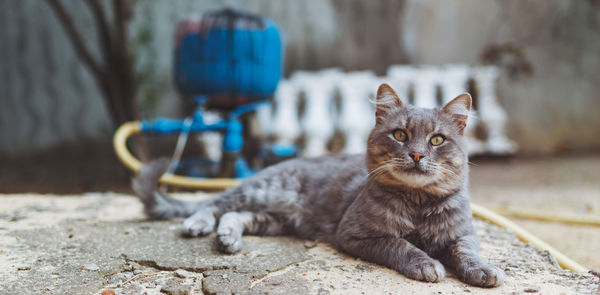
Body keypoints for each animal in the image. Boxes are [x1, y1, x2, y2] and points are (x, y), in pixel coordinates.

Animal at [132, 84, 506, 288]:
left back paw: (228, 237)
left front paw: (484, 270)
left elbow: (467, 251)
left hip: (273, 218)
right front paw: (426, 262)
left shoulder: (463, 232)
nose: (416, 154)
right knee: (216, 204)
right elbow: (401, 245)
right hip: (264, 192)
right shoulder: (357, 233)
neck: (418, 203)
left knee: (235, 215)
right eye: (400, 134)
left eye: (437, 139)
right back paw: (197, 223)